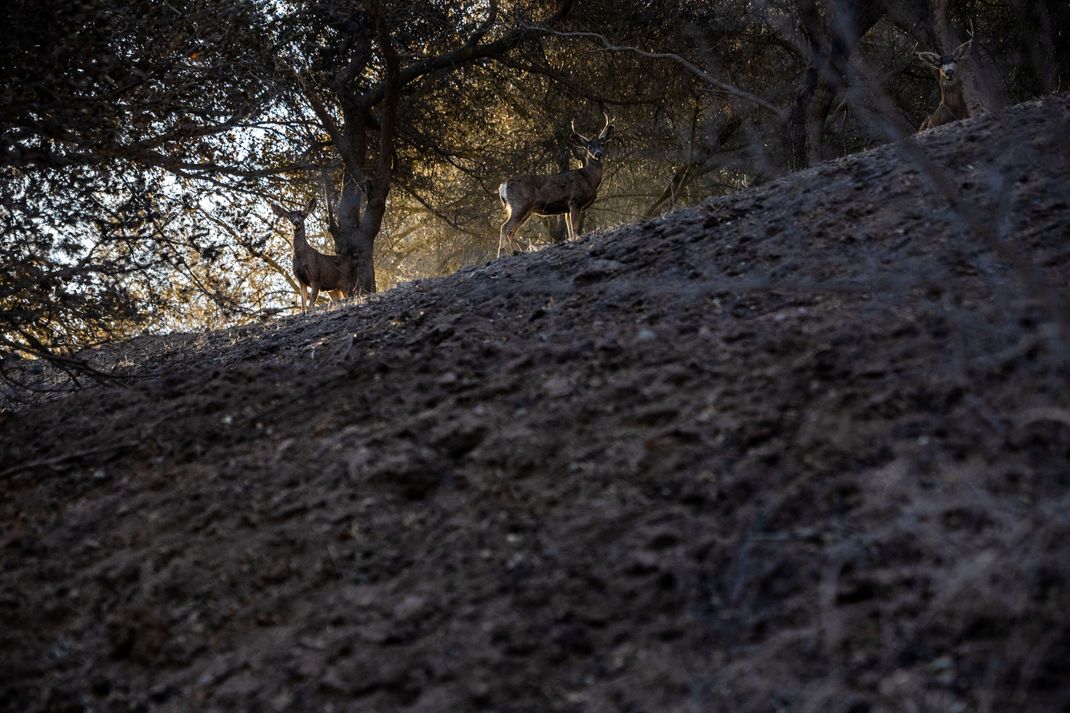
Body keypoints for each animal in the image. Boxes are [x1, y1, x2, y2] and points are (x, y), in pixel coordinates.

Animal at [496, 111, 616, 255]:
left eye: (603, 144)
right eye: (589, 147)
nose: (597, 154)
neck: (588, 179)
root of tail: (503, 186)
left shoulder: (567, 208)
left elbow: (570, 230)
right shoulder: (574, 201)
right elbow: (575, 228)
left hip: (526, 209)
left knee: (511, 231)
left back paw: (517, 252)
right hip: (520, 204)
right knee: (505, 227)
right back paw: (501, 255)